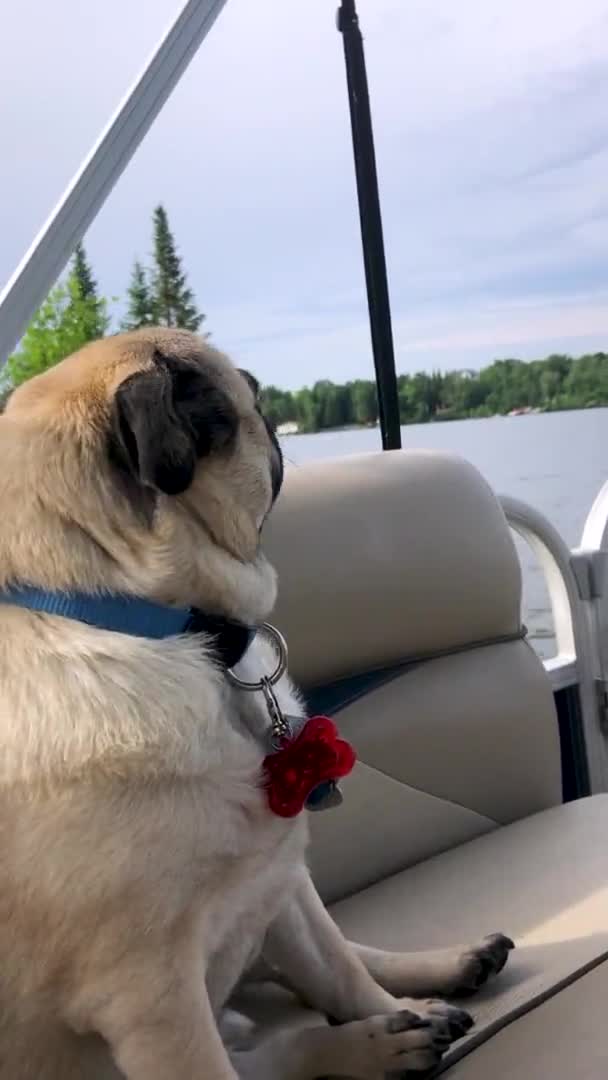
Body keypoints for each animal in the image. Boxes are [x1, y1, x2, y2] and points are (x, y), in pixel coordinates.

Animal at [0, 328, 514, 1080]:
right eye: (248, 398)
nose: (268, 406)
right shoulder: (154, 1000)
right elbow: (223, 1060)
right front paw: (381, 1028)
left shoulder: (276, 882)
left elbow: (338, 970)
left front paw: (392, 1007)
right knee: (272, 1055)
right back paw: (375, 1043)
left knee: (338, 964)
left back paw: (435, 984)